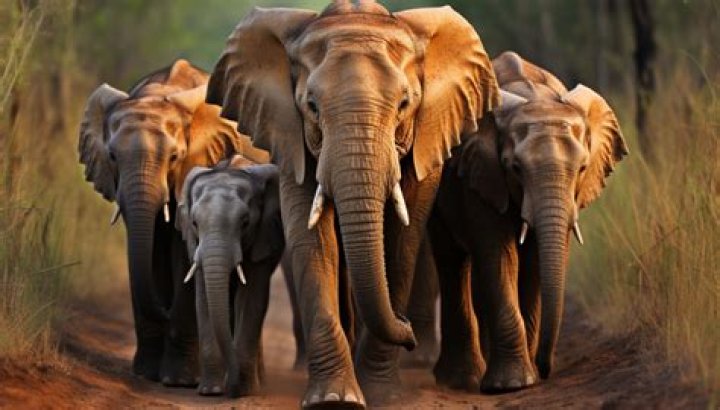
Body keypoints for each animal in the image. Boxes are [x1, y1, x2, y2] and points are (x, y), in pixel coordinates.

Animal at [78, 59, 266, 385]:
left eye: (176, 157)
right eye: (112, 156)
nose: (164, 310)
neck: (158, 92)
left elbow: (184, 257)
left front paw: (178, 380)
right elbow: (148, 254)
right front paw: (145, 374)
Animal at [175, 155, 284, 397]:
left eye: (245, 223)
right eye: (194, 223)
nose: (231, 390)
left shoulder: (263, 236)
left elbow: (252, 298)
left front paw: (243, 390)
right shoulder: (196, 245)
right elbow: (203, 300)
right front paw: (211, 391)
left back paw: (258, 383)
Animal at [206, 1, 499, 407]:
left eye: (405, 104)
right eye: (312, 106)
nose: (408, 331)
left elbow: (403, 240)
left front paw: (381, 394)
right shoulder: (292, 140)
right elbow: (313, 242)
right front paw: (334, 397)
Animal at [428, 51, 628, 392]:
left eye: (582, 168)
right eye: (515, 168)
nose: (547, 369)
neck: (535, 99)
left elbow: (534, 262)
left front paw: (528, 376)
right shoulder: (483, 171)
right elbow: (497, 255)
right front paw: (512, 385)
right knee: (452, 261)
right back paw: (460, 379)